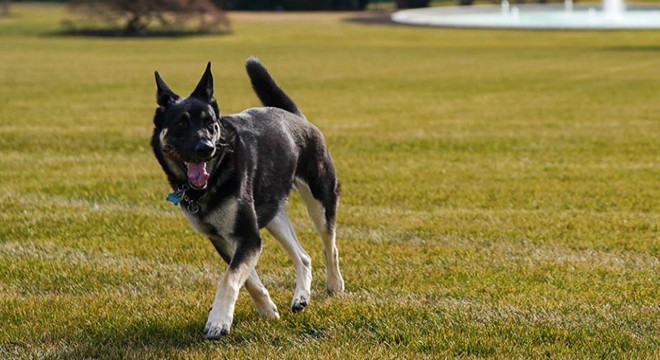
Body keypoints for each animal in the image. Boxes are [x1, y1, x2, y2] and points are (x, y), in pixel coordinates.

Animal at [150, 57, 346, 338]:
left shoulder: (248, 236)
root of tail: (298, 118)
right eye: (180, 123)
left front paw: (218, 320)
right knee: (303, 256)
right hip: (273, 214)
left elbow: (229, 278)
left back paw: (334, 284)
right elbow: (246, 279)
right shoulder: (224, 239)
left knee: (330, 244)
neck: (214, 176)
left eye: (210, 123)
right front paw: (267, 310)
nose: (206, 148)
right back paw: (301, 297)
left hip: (320, 199)